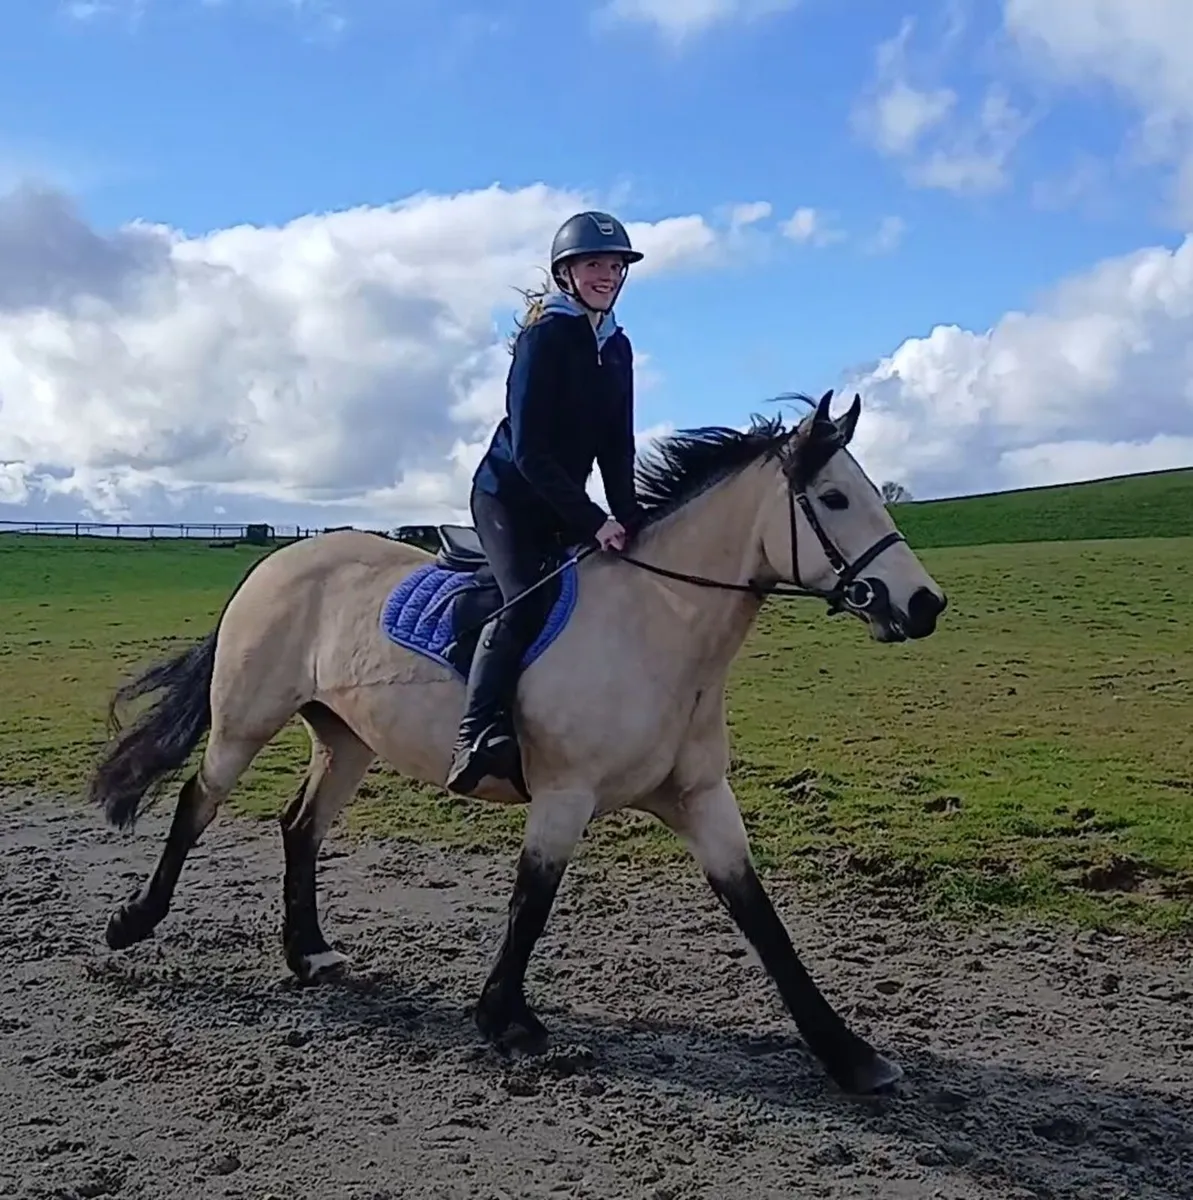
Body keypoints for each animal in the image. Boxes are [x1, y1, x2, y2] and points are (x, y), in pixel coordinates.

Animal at [85, 389, 947, 1096]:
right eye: (832, 497)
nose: (923, 604)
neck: (658, 626)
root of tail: (280, 559)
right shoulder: (565, 795)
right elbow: (531, 899)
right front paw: (506, 1019)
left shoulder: (702, 799)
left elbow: (759, 917)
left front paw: (847, 1054)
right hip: (245, 722)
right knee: (197, 803)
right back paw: (134, 922)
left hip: (348, 741)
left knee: (300, 826)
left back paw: (309, 953)